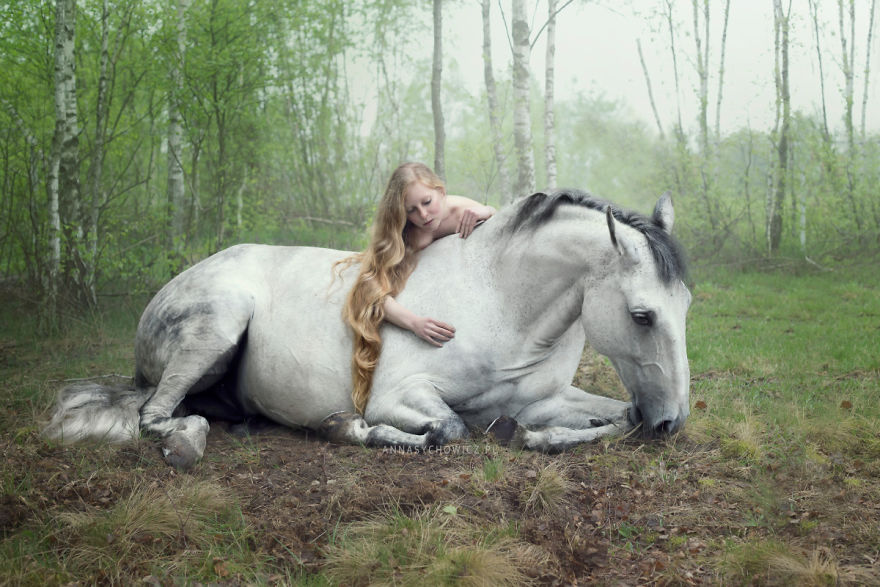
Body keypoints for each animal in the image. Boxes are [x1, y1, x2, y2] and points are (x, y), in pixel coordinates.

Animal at [43, 189, 691, 469]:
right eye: (641, 315)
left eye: (685, 304)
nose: (673, 423)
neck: (502, 300)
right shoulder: (397, 396)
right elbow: (449, 428)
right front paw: (354, 429)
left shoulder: (546, 399)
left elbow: (615, 419)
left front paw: (531, 437)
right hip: (216, 327)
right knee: (155, 415)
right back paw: (187, 442)